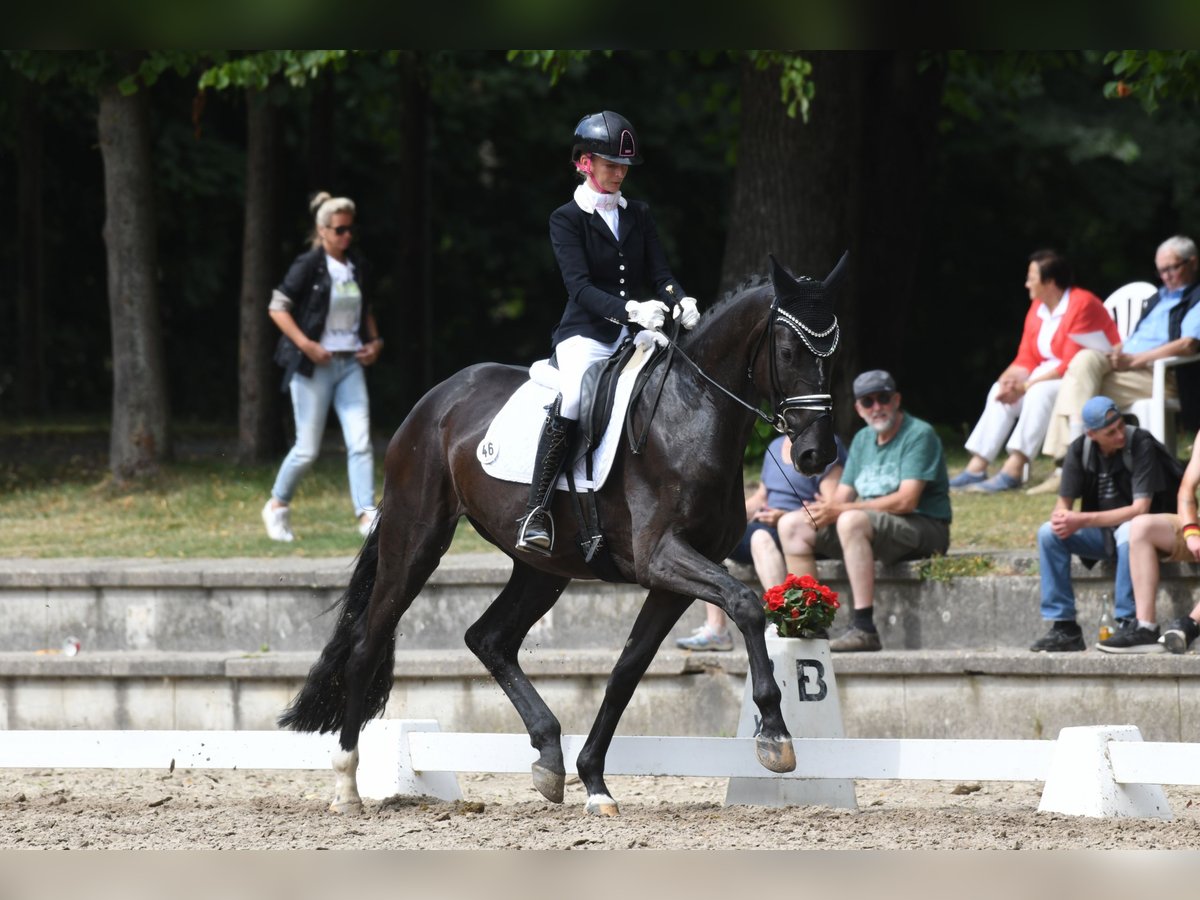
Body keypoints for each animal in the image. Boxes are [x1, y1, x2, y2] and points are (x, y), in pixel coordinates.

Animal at [280, 254, 844, 816]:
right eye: (788, 351)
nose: (816, 454)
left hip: (542, 569)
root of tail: (435, 400)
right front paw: (775, 734)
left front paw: (595, 781)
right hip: (416, 539)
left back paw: (549, 755)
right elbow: (745, 603)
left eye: (834, 352)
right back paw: (347, 784)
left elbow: (627, 670)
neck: (692, 412)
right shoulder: (662, 557)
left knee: (488, 638)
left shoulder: (673, 578)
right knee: (367, 645)